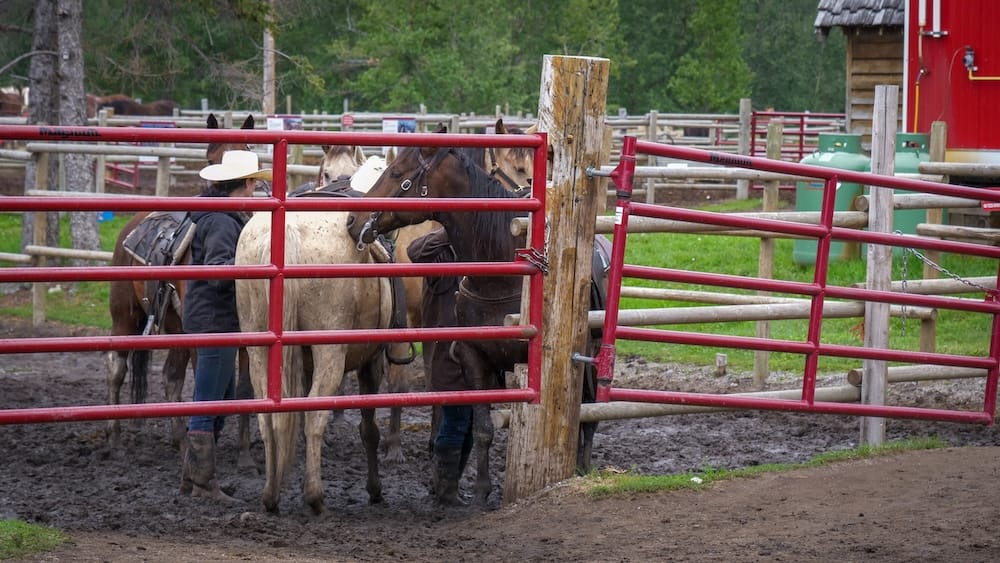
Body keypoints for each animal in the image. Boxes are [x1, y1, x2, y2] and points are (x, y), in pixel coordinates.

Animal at [106, 113, 257, 470]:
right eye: (210, 160)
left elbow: (243, 388)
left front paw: (244, 453)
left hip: (176, 325)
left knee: (171, 376)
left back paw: (179, 439)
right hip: (126, 317)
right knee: (118, 369)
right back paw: (115, 440)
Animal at [234, 159, 399, 513]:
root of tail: (288, 231)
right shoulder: (371, 362)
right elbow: (368, 429)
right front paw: (375, 489)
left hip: (258, 349)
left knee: (268, 417)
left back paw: (271, 494)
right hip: (330, 353)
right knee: (315, 416)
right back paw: (315, 497)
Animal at [346, 137, 606, 506]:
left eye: (396, 173)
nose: (353, 220)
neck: (500, 272)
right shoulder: (474, 357)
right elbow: (483, 428)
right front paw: (481, 491)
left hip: (588, 359)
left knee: (587, 411)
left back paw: (582, 466)